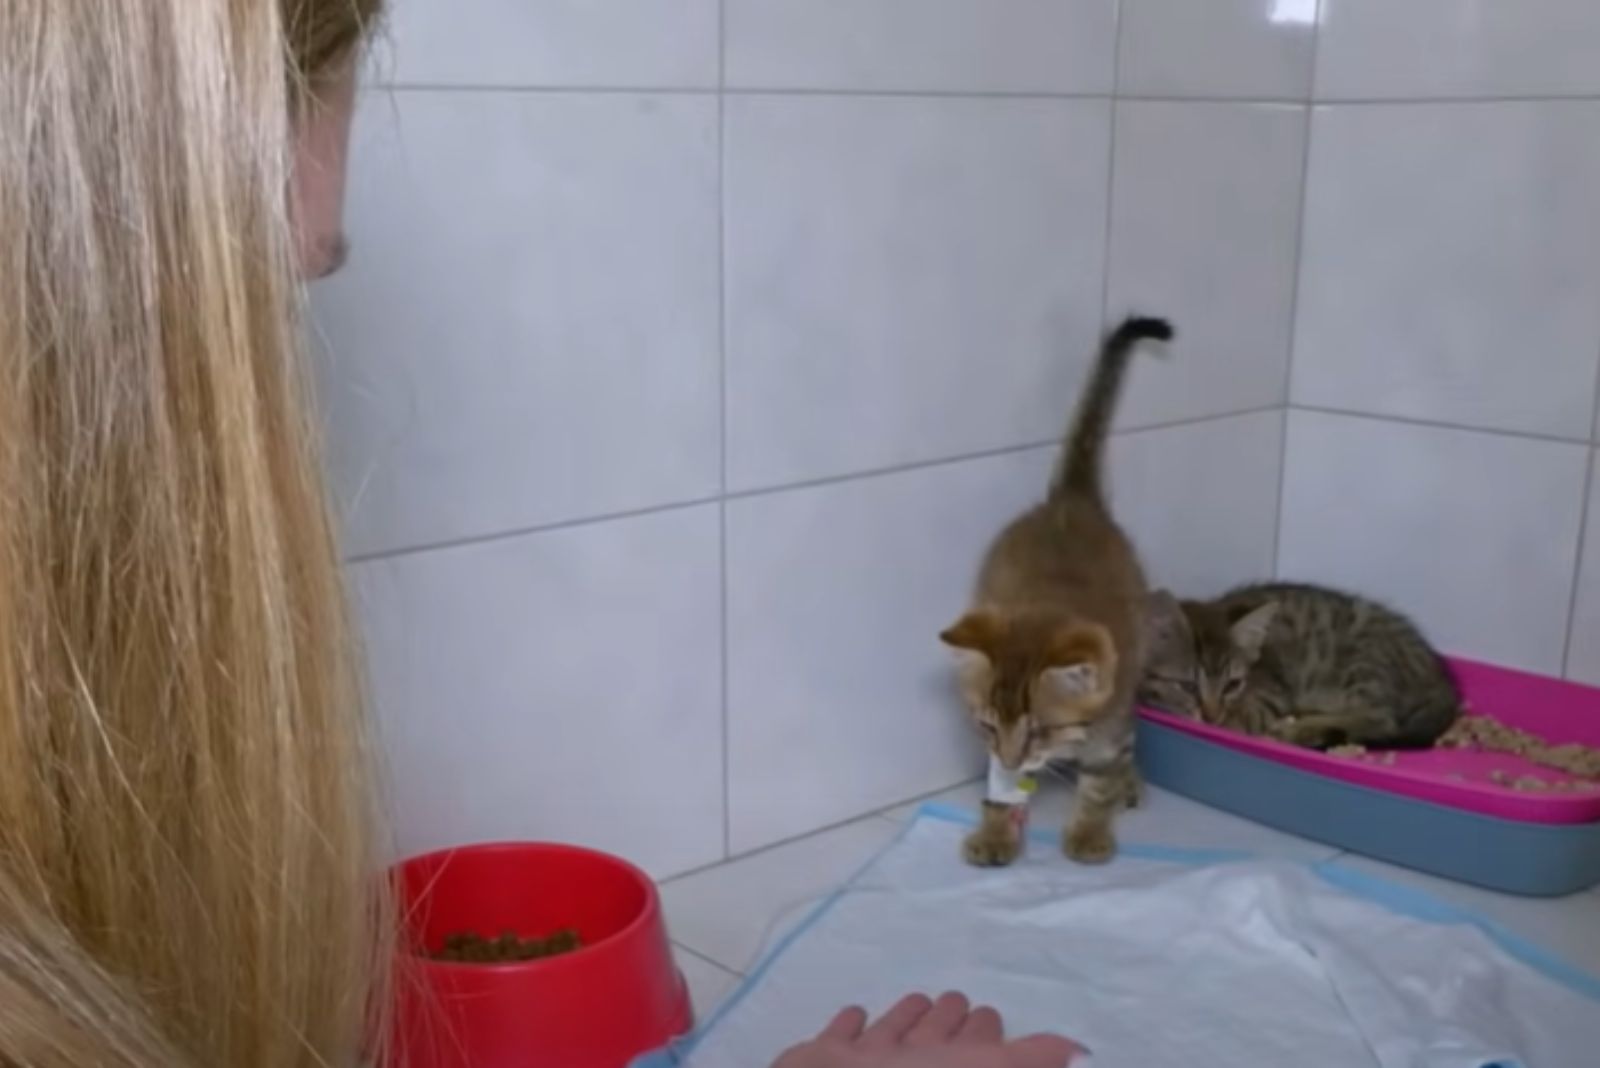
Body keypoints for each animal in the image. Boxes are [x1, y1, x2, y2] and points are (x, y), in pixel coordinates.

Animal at [940, 313, 1171, 863]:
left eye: (1039, 730)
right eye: (988, 726)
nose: (1012, 757)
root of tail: (1070, 499)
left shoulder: (1109, 722)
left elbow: (1100, 779)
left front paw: (1089, 833)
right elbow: (999, 791)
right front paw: (995, 834)